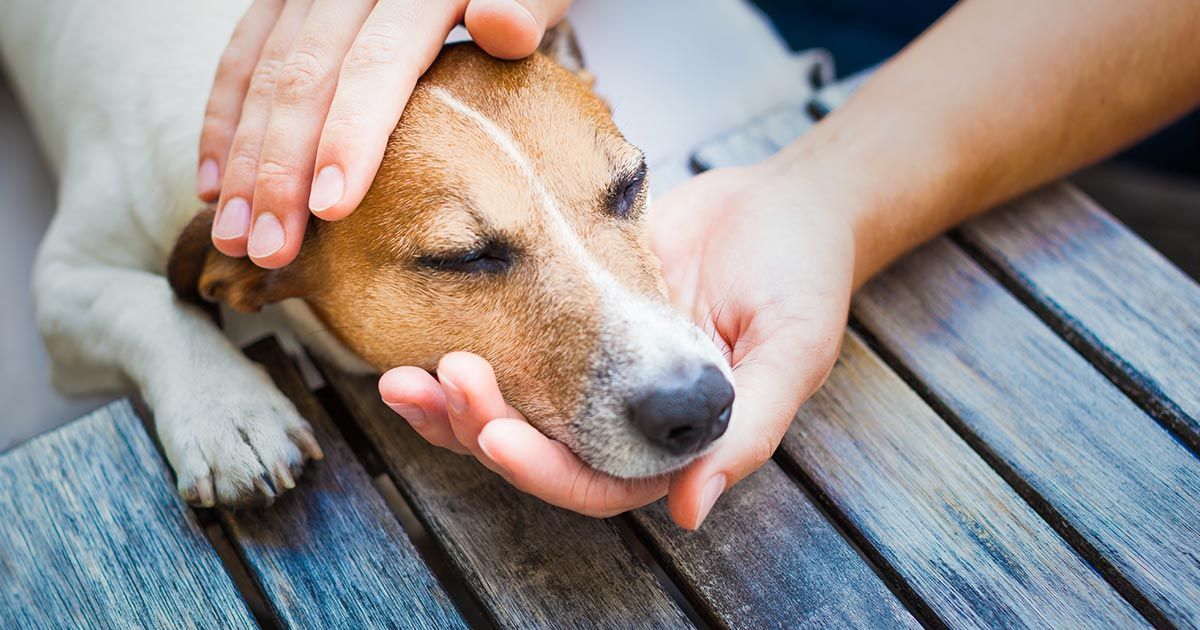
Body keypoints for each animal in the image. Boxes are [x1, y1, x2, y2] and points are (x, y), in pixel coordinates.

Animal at [0, 1, 734, 506]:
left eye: (631, 185)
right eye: (464, 257)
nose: (698, 404)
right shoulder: (62, 283)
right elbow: (146, 302)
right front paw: (226, 410)